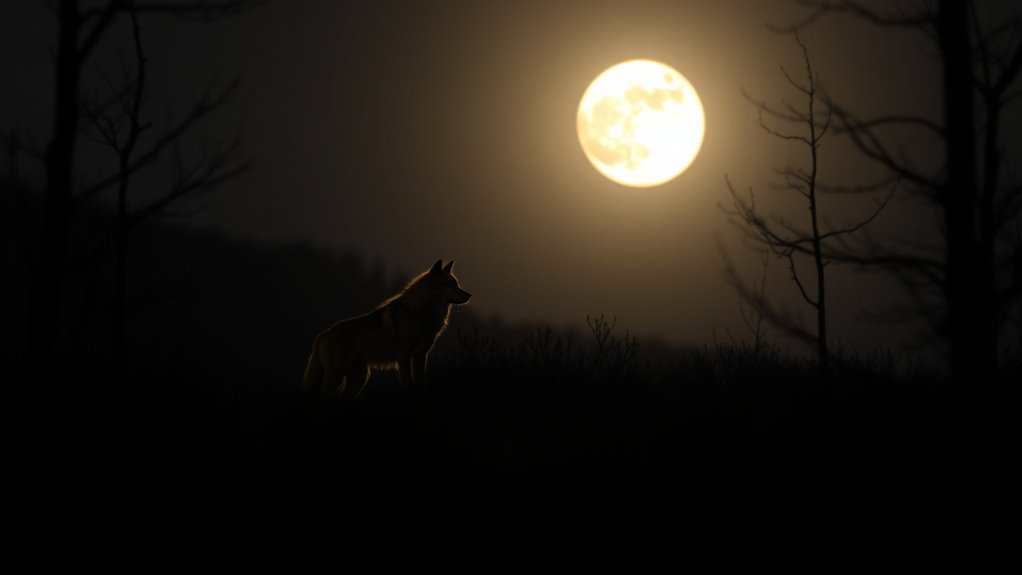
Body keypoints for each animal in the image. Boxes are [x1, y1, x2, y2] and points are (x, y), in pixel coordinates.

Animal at [303, 259, 471, 399]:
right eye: (449, 285)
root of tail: (322, 335)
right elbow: (407, 384)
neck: (420, 312)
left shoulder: (420, 356)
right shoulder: (404, 358)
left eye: (457, 284)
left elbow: (420, 383)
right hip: (336, 377)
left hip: (358, 380)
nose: (469, 295)